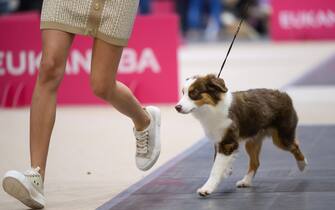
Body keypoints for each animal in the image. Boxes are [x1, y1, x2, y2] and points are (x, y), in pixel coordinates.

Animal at [176, 74, 310, 198]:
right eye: (183, 93)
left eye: (194, 93)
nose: (177, 107)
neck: (212, 107)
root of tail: (284, 94)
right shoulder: (219, 140)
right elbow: (218, 161)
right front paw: (227, 170)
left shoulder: (228, 141)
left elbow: (215, 168)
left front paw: (207, 188)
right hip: (252, 141)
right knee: (256, 162)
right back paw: (246, 181)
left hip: (281, 138)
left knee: (295, 146)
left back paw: (302, 164)